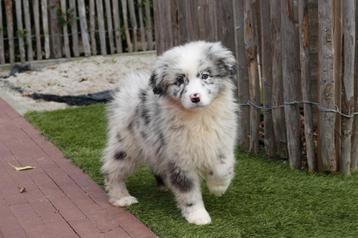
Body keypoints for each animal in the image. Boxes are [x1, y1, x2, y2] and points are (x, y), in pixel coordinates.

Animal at [101, 41, 238, 225]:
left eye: (205, 76)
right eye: (179, 81)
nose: (195, 97)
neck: (199, 117)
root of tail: (131, 88)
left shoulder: (222, 142)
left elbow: (224, 167)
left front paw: (218, 187)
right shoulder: (179, 156)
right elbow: (188, 189)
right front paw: (198, 216)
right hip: (126, 145)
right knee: (112, 170)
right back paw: (121, 198)